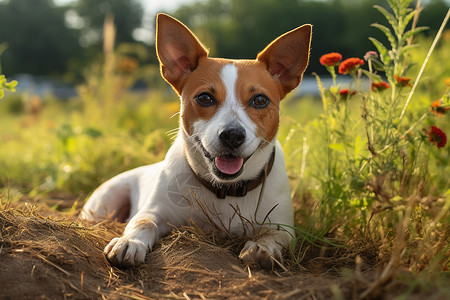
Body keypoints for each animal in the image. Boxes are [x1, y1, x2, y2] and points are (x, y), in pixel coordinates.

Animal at [81, 14, 312, 268]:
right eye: (205, 98)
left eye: (260, 100)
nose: (232, 135)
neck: (226, 190)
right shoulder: (155, 210)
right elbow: (143, 222)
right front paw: (130, 242)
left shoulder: (283, 227)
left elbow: (275, 236)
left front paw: (262, 248)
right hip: (105, 200)